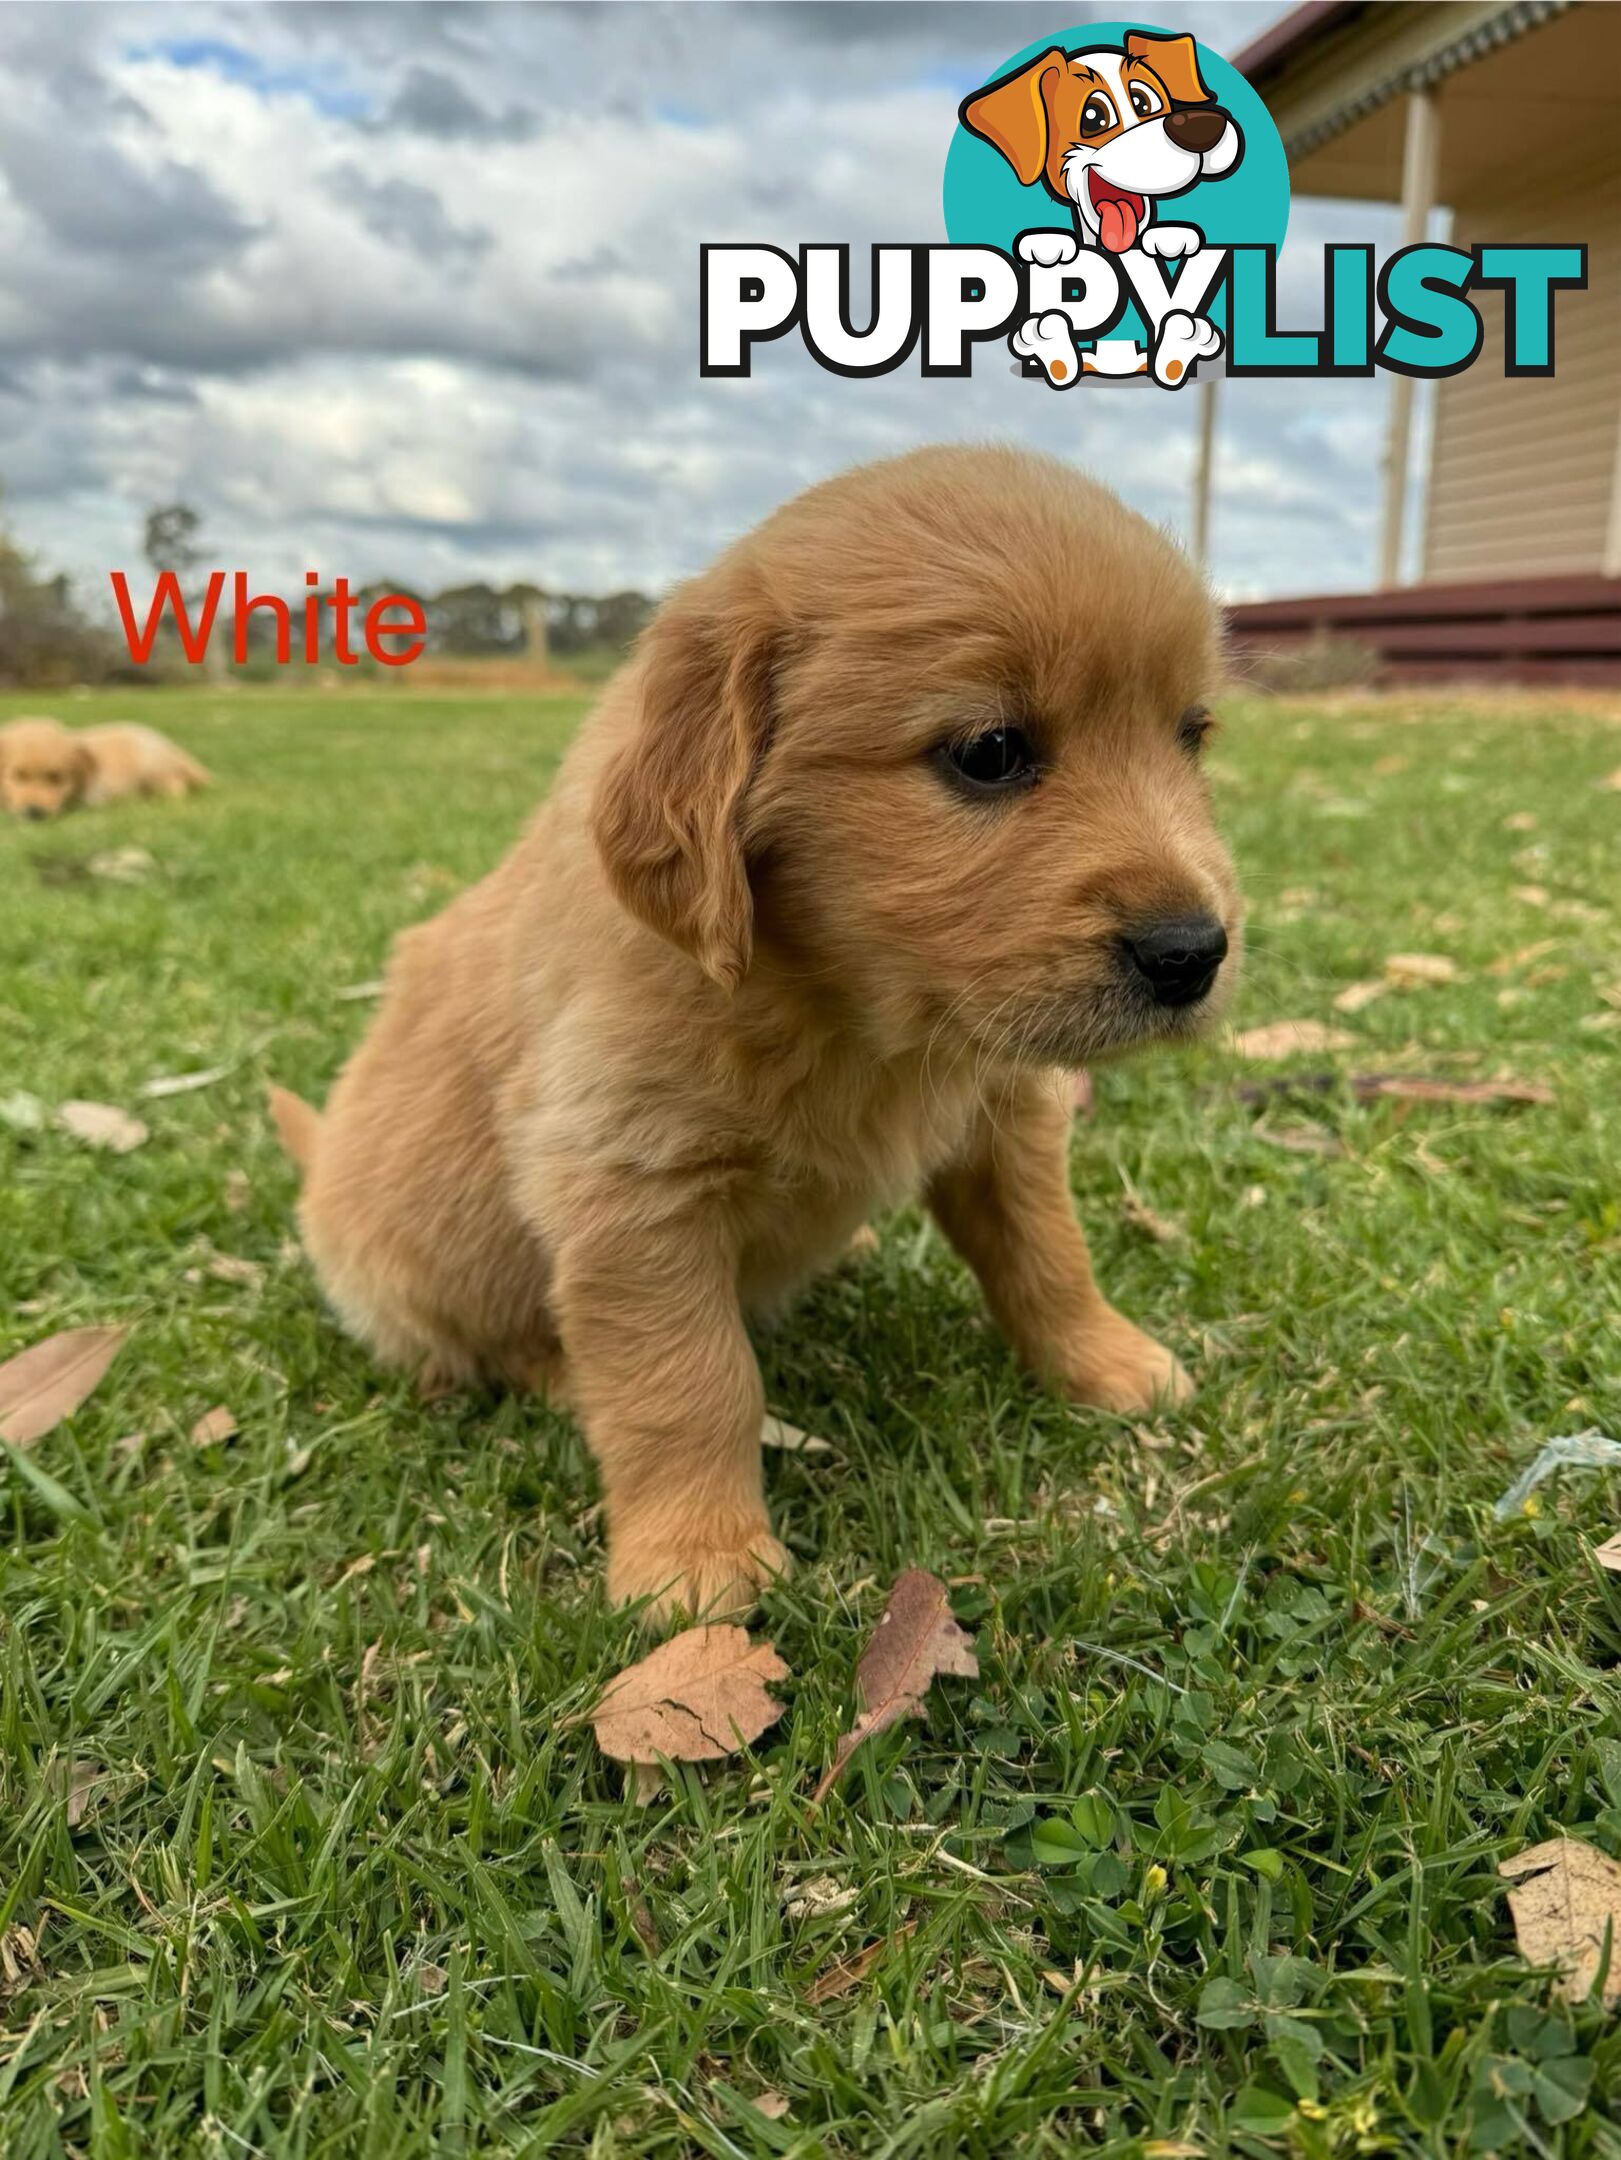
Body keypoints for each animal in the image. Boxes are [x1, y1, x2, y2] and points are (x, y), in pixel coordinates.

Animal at [276, 442, 1244, 1624]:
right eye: (989, 751)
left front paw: (1107, 1363)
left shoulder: (1004, 1114)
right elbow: (685, 1381)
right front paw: (695, 1561)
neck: (856, 1011)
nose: (1192, 952)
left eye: (1190, 735)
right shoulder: (630, 1186)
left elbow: (1047, 1252)